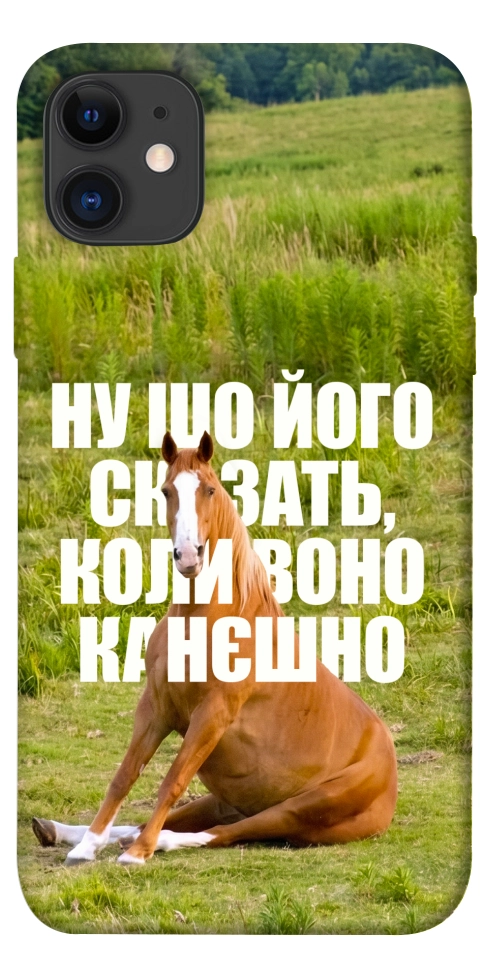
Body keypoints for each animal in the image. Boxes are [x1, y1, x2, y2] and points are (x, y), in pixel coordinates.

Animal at [32, 431, 397, 865]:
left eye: (209, 489)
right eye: (166, 490)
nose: (189, 556)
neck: (207, 620)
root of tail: (389, 774)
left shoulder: (212, 715)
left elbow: (171, 781)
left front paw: (138, 854)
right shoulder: (156, 706)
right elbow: (125, 775)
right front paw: (87, 845)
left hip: (297, 810)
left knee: (228, 833)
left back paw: (152, 843)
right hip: (226, 799)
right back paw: (61, 831)